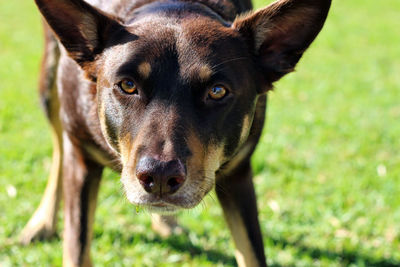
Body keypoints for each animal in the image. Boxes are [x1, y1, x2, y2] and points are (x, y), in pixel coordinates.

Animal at [19, 0, 332, 266]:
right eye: (128, 85)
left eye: (217, 91)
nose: (159, 177)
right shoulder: (81, 156)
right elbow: (76, 246)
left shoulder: (238, 173)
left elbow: (252, 253)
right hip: (50, 85)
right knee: (58, 148)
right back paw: (42, 222)